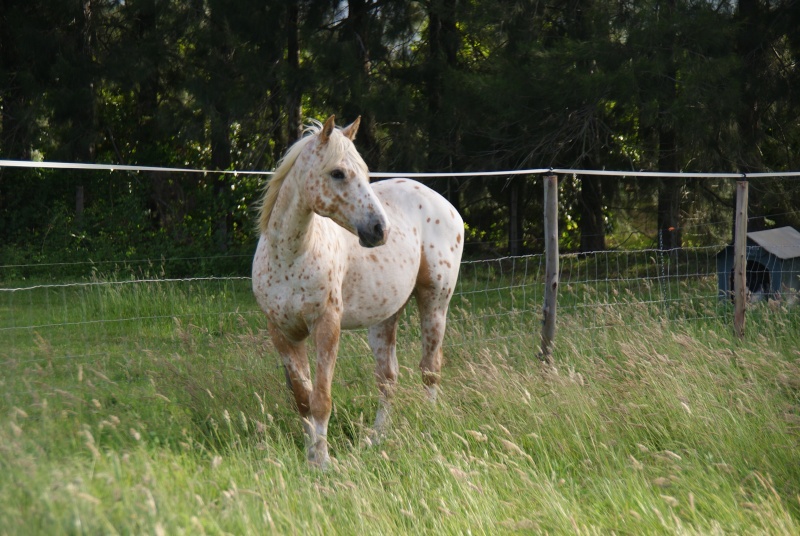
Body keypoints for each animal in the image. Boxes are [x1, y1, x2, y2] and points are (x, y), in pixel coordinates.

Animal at [250, 115, 462, 466]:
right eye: (338, 173)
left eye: (364, 172)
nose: (380, 229)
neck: (290, 257)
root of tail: (447, 207)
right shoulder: (282, 332)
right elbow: (303, 398)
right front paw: (310, 453)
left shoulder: (326, 326)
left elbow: (321, 399)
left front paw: (323, 461)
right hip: (385, 318)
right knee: (387, 379)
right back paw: (376, 439)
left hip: (435, 303)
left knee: (430, 369)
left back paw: (430, 428)